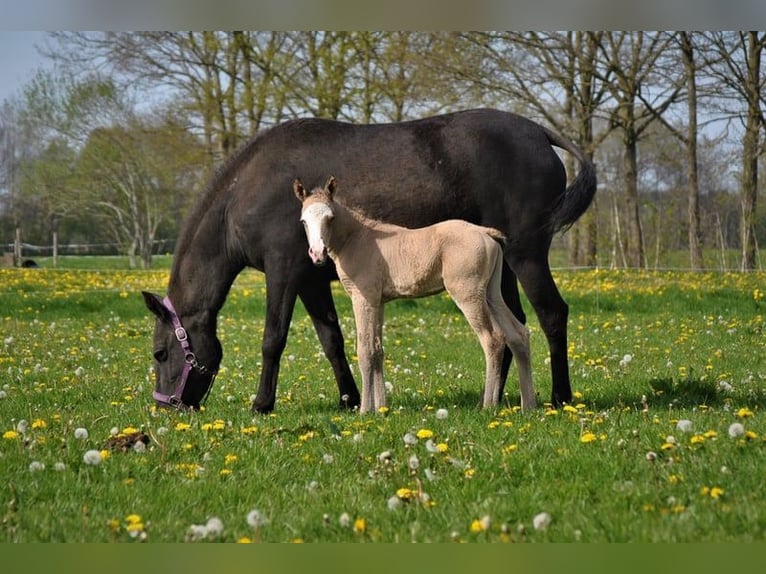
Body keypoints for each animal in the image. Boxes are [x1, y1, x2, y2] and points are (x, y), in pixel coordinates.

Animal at [295, 176, 536, 413]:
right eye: (304, 221)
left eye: (330, 218)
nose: (317, 254)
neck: (357, 238)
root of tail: (485, 232)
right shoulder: (378, 302)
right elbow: (377, 350)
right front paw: (381, 408)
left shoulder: (363, 299)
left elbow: (365, 351)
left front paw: (365, 410)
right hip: (490, 294)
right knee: (518, 334)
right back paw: (528, 405)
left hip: (468, 294)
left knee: (492, 339)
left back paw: (488, 406)